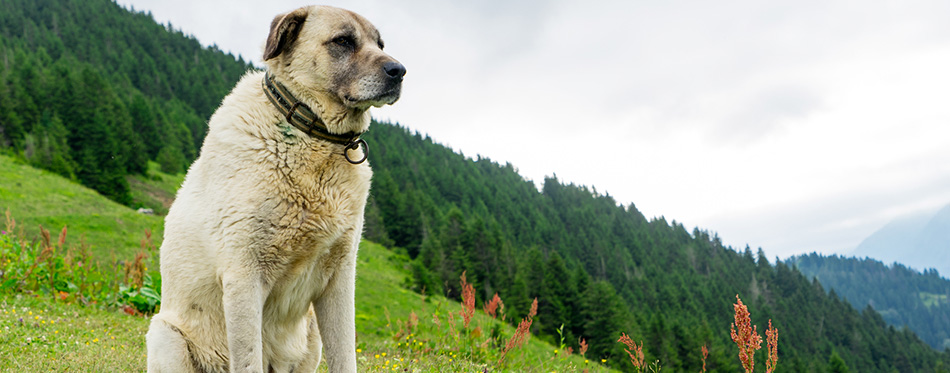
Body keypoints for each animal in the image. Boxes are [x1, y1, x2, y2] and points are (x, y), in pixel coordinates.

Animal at [145, 5, 406, 372]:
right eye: (343, 41)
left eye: (380, 44)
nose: (399, 71)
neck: (314, 138)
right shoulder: (244, 276)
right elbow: (249, 358)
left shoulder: (339, 279)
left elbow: (345, 356)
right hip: (165, 333)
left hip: (311, 335)